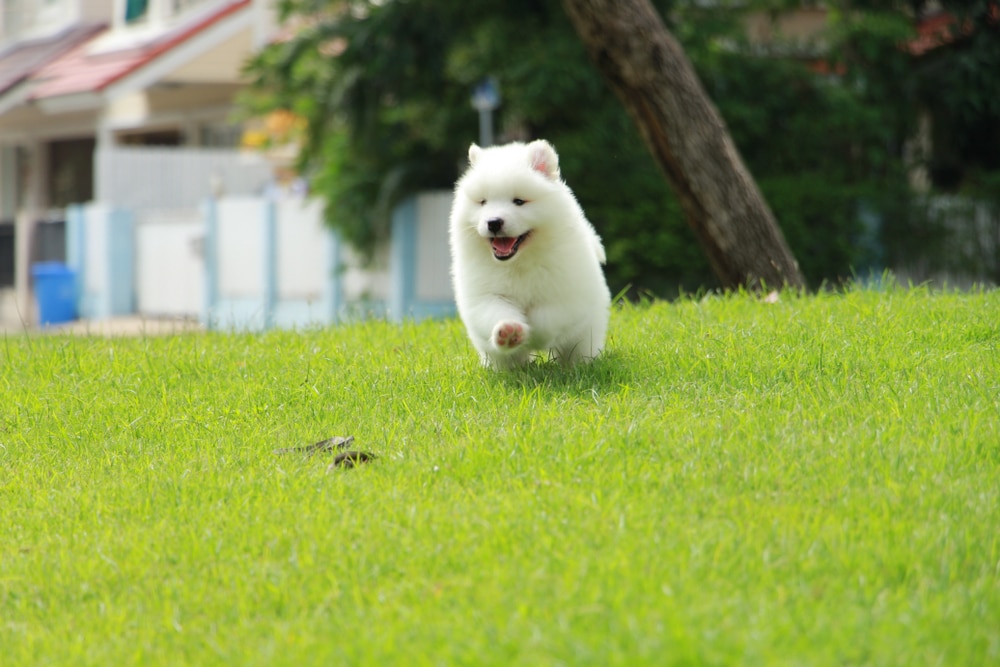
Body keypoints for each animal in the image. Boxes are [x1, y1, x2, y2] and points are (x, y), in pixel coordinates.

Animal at [452, 141, 608, 370]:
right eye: (483, 202)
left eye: (519, 201)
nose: (493, 222)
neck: (519, 262)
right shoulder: (487, 295)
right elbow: (495, 312)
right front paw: (509, 331)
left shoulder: (565, 297)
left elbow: (545, 319)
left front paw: (532, 335)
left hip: (587, 329)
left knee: (579, 348)